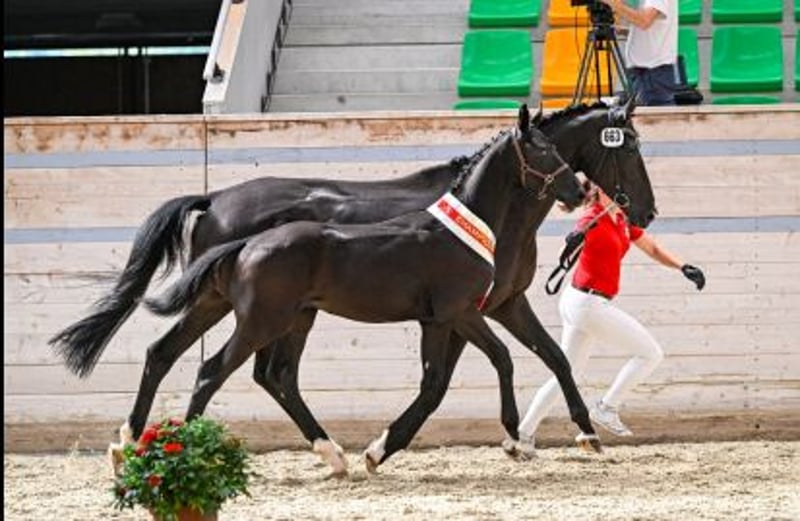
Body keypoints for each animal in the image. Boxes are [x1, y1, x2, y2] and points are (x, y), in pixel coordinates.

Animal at [51, 101, 655, 472]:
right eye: (625, 146)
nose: (643, 210)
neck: (477, 221)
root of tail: (215, 199)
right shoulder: (464, 312)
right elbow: (460, 376)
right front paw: (504, 438)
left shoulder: (498, 305)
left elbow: (550, 358)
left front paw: (580, 433)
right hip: (260, 317)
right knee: (219, 369)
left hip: (246, 308)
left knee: (191, 358)